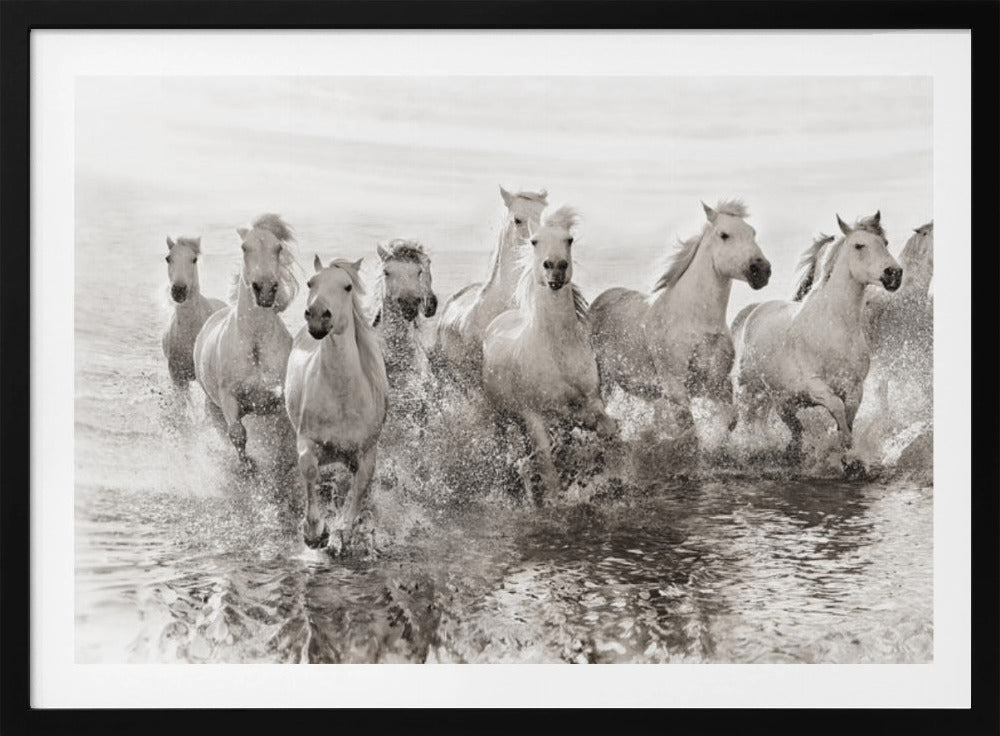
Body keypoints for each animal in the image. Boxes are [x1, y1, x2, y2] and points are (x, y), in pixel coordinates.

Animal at [193, 214, 299, 467]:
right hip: (213, 405)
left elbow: (284, 440)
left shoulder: (279, 401)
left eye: (278, 247)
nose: (265, 290)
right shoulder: (229, 397)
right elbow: (237, 434)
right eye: (244, 247)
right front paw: (248, 465)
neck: (255, 344)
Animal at [285, 257, 389, 552]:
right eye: (311, 283)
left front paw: (342, 530)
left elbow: (359, 489)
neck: (342, 398)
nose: (318, 315)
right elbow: (309, 469)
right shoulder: (307, 440)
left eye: (347, 286)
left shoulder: (367, 453)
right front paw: (314, 532)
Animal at [482, 206, 618, 502]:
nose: (555, 267)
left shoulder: (592, 399)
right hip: (501, 415)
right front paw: (553, 496)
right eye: (534, 241)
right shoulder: (533, 415)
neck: (556, 351)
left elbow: (604, 427)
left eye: (569, 240)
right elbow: (547, 464)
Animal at [588, 200, 770, 446]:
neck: (695, 320)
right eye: (724, 235)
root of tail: (600, 299)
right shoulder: (675, 386)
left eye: (752, 232)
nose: (762, 270)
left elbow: (730, 419)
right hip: (603, 379)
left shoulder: (716, 383)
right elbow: (688, 428)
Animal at [730, 211, 902, 475]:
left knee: (792, 428)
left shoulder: (855, 387)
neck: (835, 328)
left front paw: (850, 458)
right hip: (749, 389)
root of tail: (753, 311)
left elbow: (848, 417)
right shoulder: (815, 385)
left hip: (782, 398)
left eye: (885, 243)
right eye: (859, 245)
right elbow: (838, 409)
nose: (894, 273)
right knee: (747, 419)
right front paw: (845, 451)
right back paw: (748, 450)